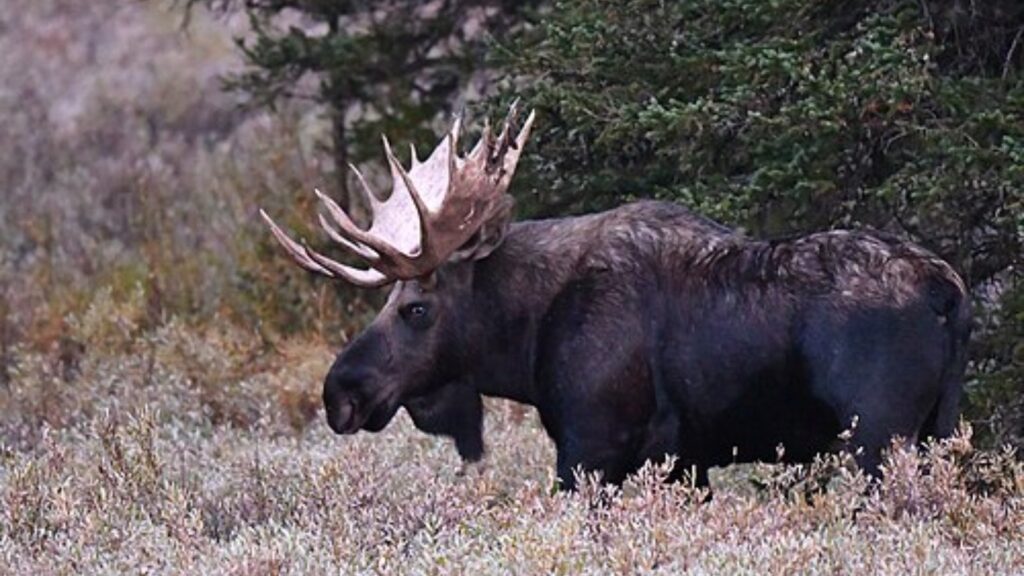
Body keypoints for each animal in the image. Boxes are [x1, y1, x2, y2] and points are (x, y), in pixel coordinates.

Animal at [261, 105, 971, 490]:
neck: (527, 341)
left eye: (416, 308)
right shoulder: (686, 462)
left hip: (878, 436)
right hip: (935, 429)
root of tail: (950, 293)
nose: (340, 393)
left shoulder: (590, 447)